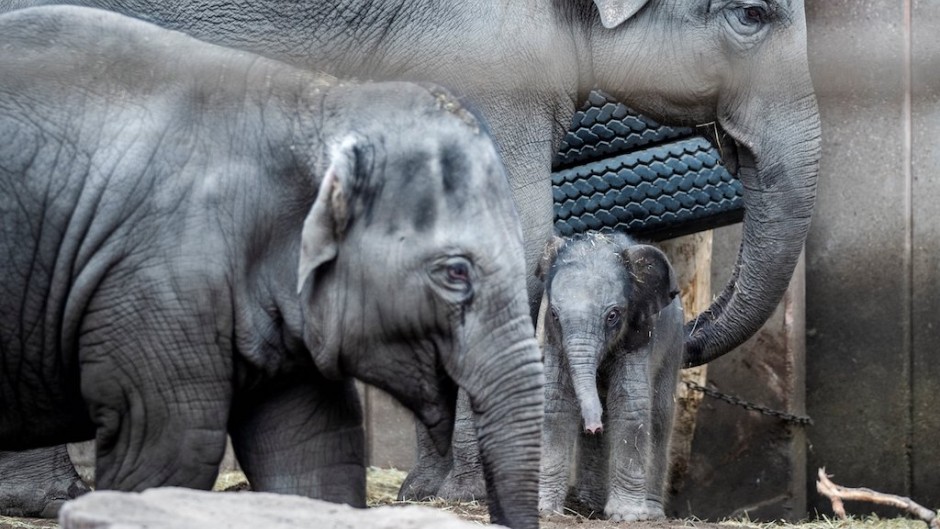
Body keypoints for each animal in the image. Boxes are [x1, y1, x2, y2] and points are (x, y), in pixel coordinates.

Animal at [535, 232, 683, 522]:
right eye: (555, 314)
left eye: (613, 316)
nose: (593, 426)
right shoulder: (553, 337)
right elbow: (557, 402)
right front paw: (544, 509)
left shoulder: (640, 333)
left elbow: (629, 404)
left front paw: (627, 516)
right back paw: (588, 503)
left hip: (674, 345)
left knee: (660, 417)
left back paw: (651, 512)